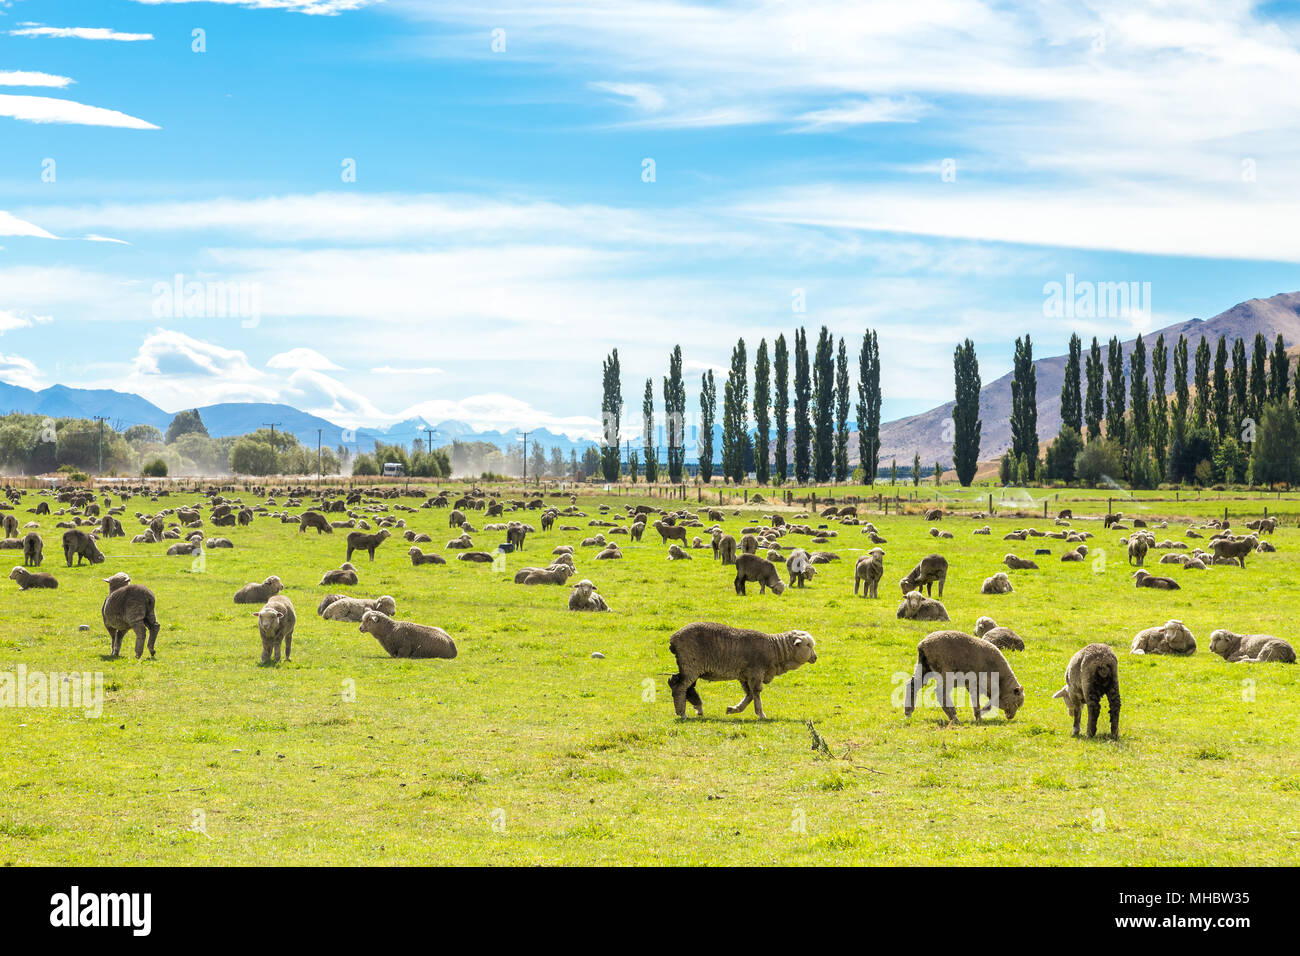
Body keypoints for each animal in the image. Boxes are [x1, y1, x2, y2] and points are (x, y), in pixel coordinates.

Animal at [667, 622, 816, 719]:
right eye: (808, 645)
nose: (815, 657)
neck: (774, 650)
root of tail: (673, 639)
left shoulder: (745, 675)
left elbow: (749, 694)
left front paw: (733, 709)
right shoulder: (756, 672)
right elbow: (756, 692)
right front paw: (761, 714)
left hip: (689, 666)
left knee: (681, 685)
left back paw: (697, 708)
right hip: (690, 664)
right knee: (680, 687)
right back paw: (682, 713)